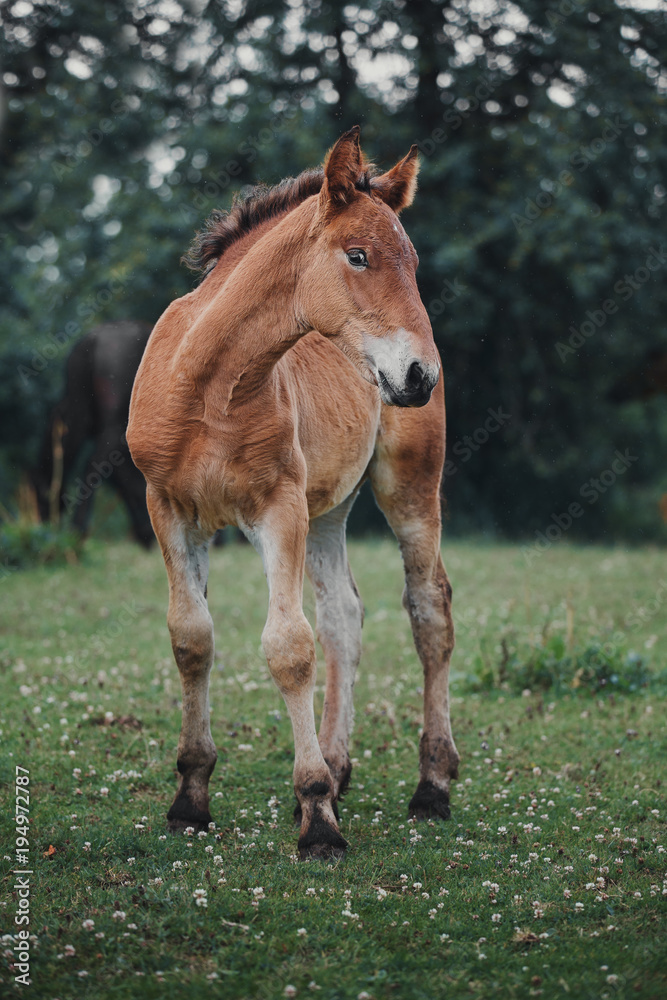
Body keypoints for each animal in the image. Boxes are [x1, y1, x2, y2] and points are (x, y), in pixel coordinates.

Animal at [127, 127, 459, 859]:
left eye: (413, 261)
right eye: (358, 255)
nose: (419, 374)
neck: (208, 388)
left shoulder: (275, 509)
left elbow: (287, 646)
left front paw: (318, 822)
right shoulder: (169, 509)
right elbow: (192, 637)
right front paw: (190, 797)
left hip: (407, 487)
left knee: (428, 610)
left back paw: (430, 786)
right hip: (329, 508)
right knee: (344, 614)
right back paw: (338, 768)